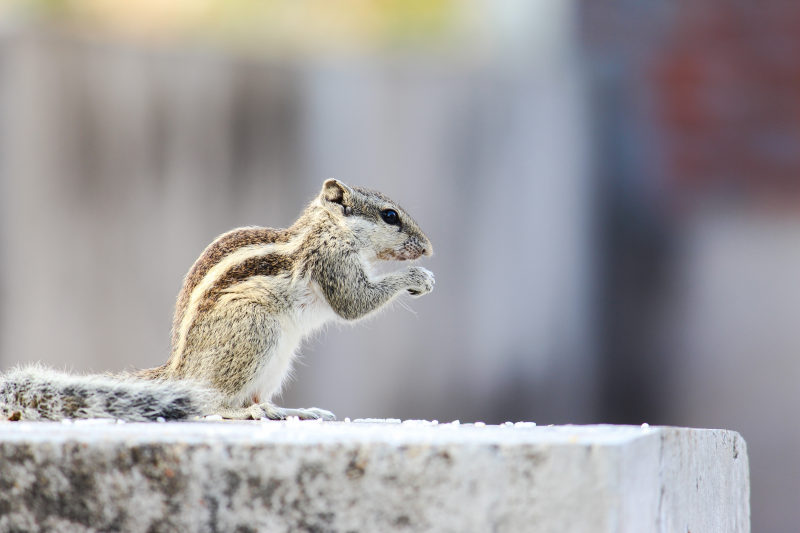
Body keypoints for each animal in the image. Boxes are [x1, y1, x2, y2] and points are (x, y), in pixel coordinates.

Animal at [0, 181, 434, 422]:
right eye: (390, 216)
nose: (429, 249)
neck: (328, 228)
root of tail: (180, 371)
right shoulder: (333, 261)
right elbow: (353, 303)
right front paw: (418, 278)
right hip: (256, 329)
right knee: (212, 402)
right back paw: (243, 410)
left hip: (275, 359)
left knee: (253, 396)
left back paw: (287, 410)